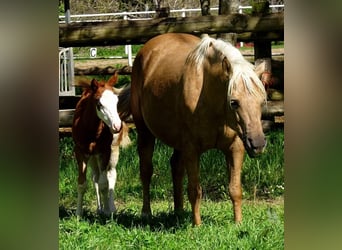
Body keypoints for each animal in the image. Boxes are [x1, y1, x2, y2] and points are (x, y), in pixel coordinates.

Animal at [130, 32, 268, 225]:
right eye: (234, 102)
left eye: (262, 101)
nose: (258, 144)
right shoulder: (191, 149)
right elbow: (195, 190)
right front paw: (197, 225)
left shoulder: (235, 148)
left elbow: (235, 188)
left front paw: (238, 223)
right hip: (145, 132)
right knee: (146, 170)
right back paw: (146, 213)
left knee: (176, 167)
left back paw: (179, 211)